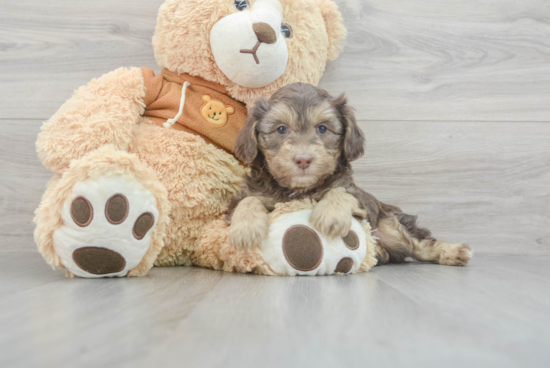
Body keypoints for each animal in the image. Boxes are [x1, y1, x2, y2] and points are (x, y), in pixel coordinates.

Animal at [229, 82, 474, 268]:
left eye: (322, 129)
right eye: (281, 129)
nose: (303, 159)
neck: (299, 190)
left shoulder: (357, 197)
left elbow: (341, 192)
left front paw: (331, 215)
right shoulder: (249, 194)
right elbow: (247, 200)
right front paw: (245, 228)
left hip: (389, 223)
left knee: (418, 244)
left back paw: (453, 252)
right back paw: (381, 253)